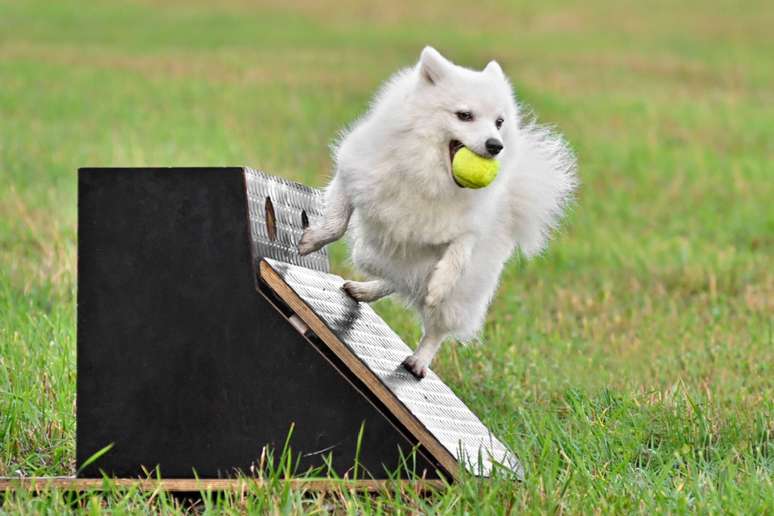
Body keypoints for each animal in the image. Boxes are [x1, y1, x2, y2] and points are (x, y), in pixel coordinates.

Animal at [300, 47, 580, 378]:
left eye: (499, 121)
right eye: (464, 115)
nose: (495, 145)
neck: (431, 174)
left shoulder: (469, 227)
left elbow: (458, 253)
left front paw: (440, 283)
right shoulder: (353, 177)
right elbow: (336, 225)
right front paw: (310, 241)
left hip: (463, 291)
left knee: (434, 321)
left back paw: (419, 359)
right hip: (373, 254)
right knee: (392, 274)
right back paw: (364, 290)